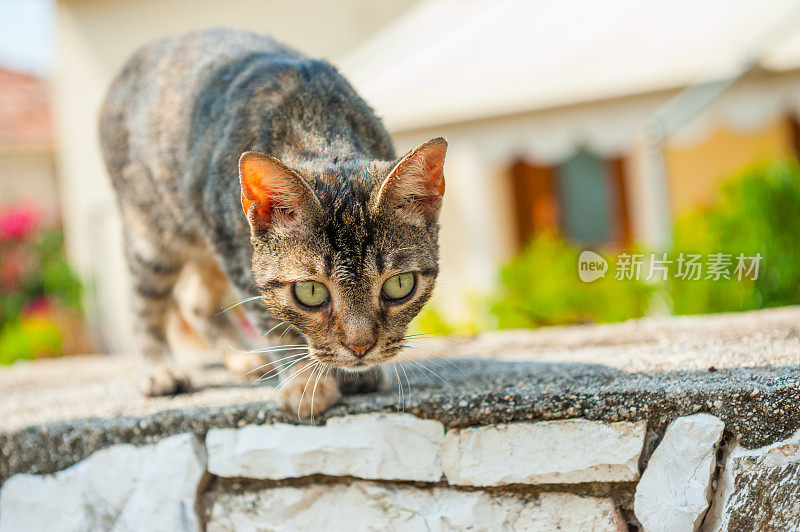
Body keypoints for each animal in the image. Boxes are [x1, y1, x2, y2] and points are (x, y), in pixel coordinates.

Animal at [100, 29, 446, 418]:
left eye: (399, 285)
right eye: (310, 292)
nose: (361, 348)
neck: (313, 126)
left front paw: (352, 374)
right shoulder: (237, 257)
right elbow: (274, 325)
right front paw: (304, 382)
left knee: (195, 300)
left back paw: (243, 359)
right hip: (154, 232)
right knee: (144, 301)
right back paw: (159, 370)